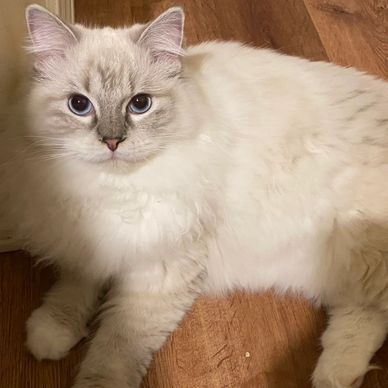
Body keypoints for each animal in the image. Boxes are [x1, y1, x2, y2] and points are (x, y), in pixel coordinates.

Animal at [0, 3, 388, 388]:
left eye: (140, 104)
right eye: (79, 105)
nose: (112, 141)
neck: (113, 189)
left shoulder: (158, 271)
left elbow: (113, 351)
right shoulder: (85, 243)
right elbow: (73, 289)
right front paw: (50, 334)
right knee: (363, 315)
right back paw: (336, 376)